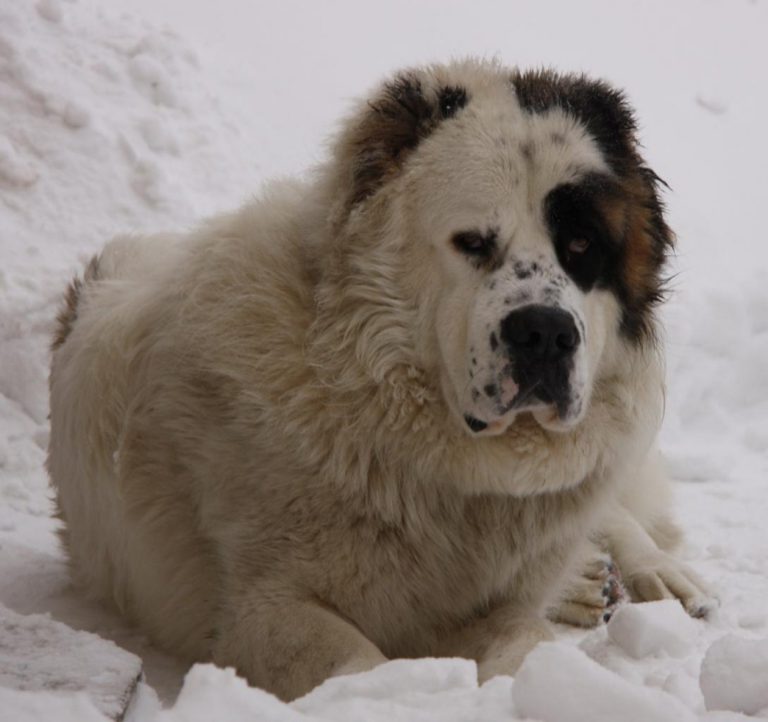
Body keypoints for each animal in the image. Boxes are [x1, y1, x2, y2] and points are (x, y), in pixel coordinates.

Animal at [48, 59, 712, 700]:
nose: (545, 332)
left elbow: (527, 639)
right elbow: (355, 665)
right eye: (473, 243)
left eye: (581, 244)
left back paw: (657, 576)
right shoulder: (264, 606)